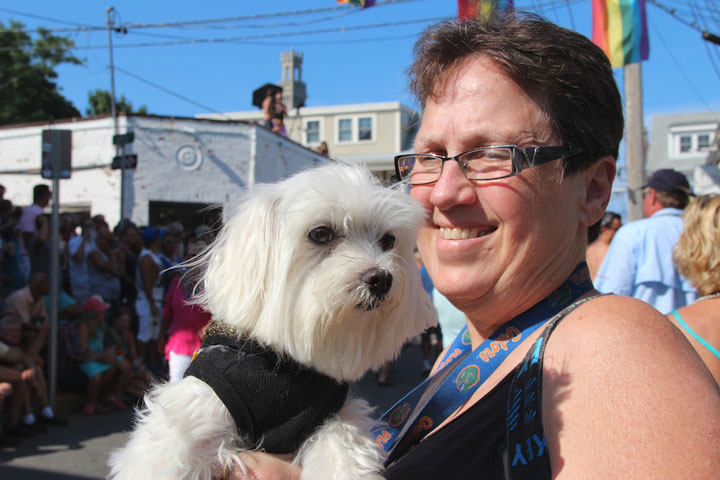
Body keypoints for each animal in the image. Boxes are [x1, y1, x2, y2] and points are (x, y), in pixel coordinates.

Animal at [107, 162, 434, 480]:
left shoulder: (332, 413)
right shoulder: (191, 418)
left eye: (388, 240)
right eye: (320, 233)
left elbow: (342, 446)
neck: (282, 367)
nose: (381, 279)